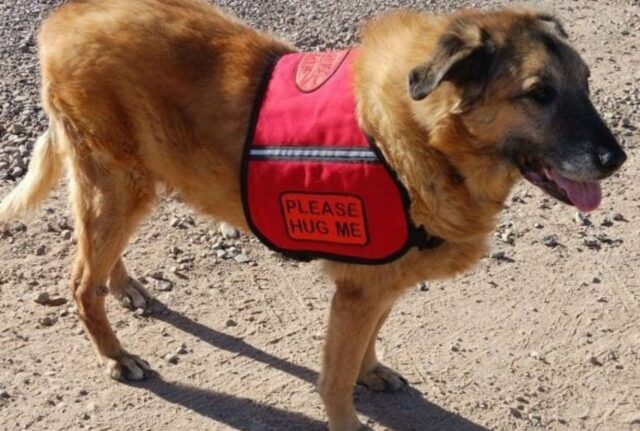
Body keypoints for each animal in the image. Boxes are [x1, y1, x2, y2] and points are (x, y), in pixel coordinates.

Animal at [0, 0, 624, 431]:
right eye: (539, 93)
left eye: (587, 82)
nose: (616, 160)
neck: (423, 136)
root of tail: (65, 16)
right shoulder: (358, 291)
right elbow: (335, 384)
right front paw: (351, 409)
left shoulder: (375, 285)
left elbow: (369, 344)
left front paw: (373, 370)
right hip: (116, 185)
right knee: (81, 282)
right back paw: (116, 354)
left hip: (130, 186)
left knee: (101, 261)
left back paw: (128, 287)